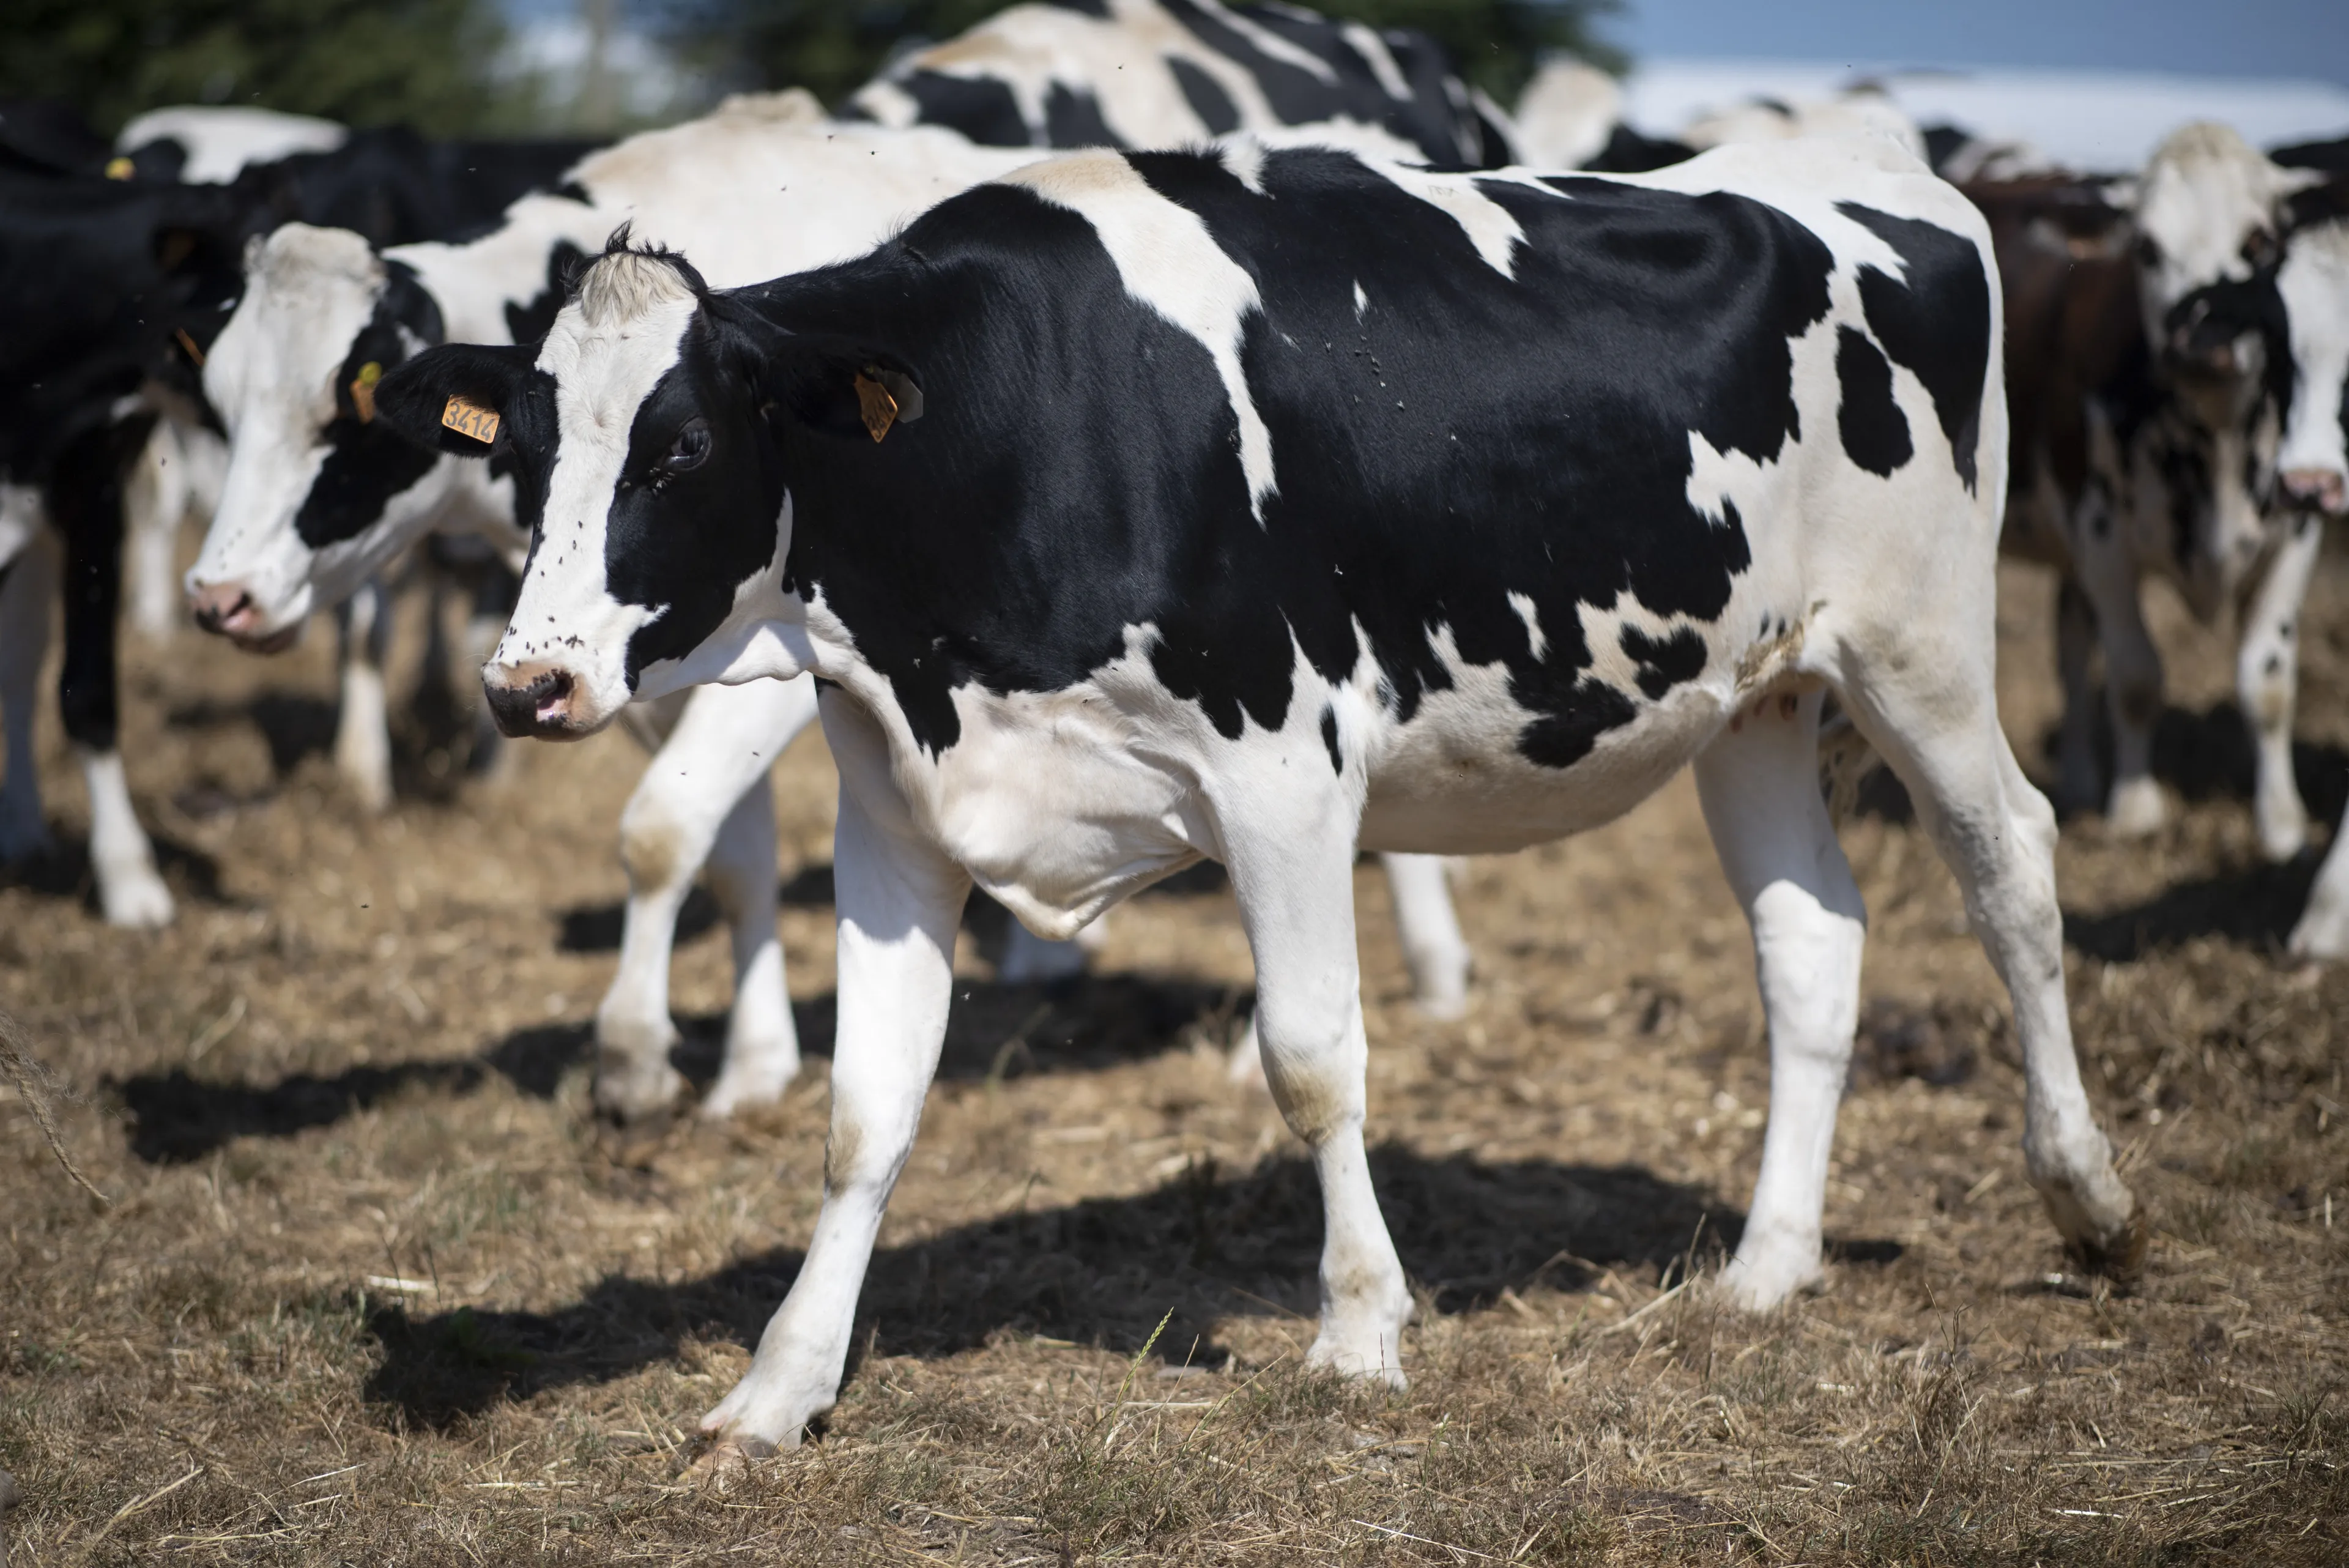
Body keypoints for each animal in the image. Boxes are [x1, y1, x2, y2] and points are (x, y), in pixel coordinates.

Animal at [375, 133, 2144, 1459]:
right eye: (524, 451)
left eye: (678, 450)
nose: (523, 685)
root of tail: (1872, 171)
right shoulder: (894, 803)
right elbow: (863, 1111)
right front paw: (778, 1385)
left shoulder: (1285, 765)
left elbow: (1309, 1060)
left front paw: (1359, 1331)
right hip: (1755, 695)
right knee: (1810, 942)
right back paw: (1768, 1270)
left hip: (1923, 644)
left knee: (2012, 867)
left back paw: (2089, 1199)